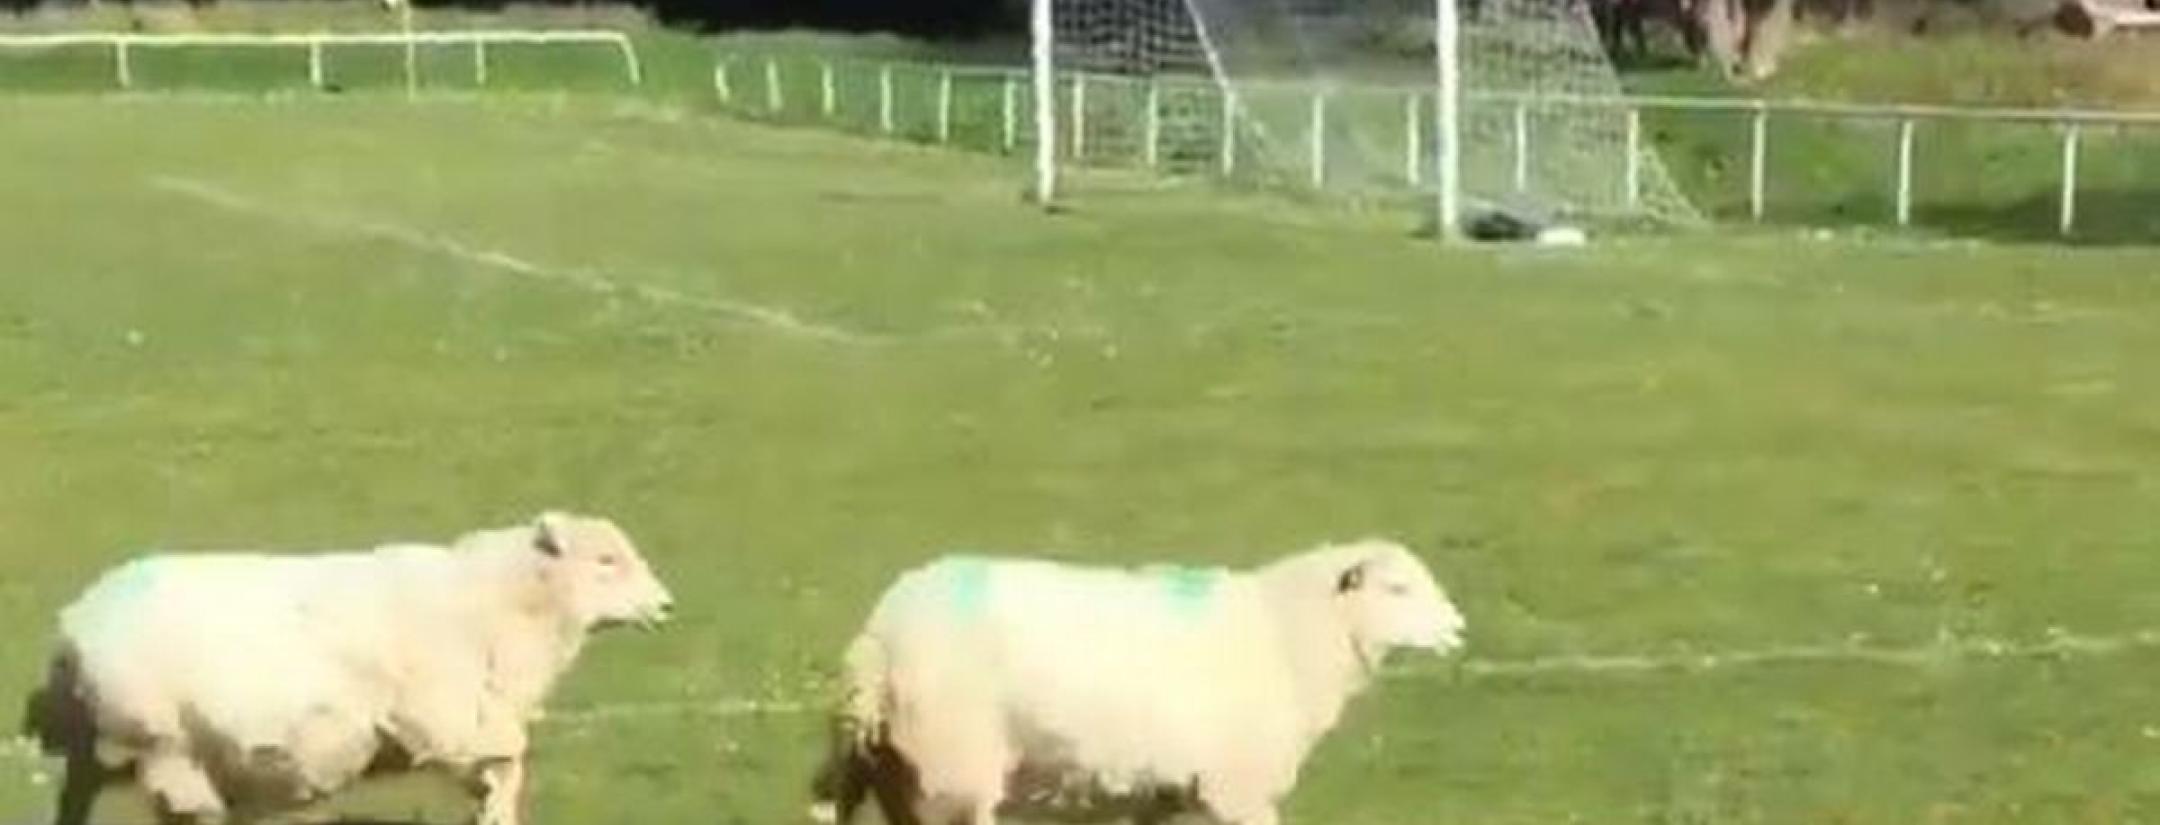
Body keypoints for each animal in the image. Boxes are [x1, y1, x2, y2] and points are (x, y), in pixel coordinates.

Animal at [17, 511, 675, 825]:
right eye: (606, 560)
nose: (667, 606)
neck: (497, 600)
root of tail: (78, 616)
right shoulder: (447, 721)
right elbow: (510, 760)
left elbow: (500, 775)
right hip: (165, 742)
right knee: (188, 807)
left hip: (116, 746)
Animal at [809, 538, 1467, 825]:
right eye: (1398, 588)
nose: (1459, 629)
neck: (1286, 633)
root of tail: (880, 635)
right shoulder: (1238, 788)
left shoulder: (1165, 795)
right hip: (953, 769)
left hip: (900, 772)